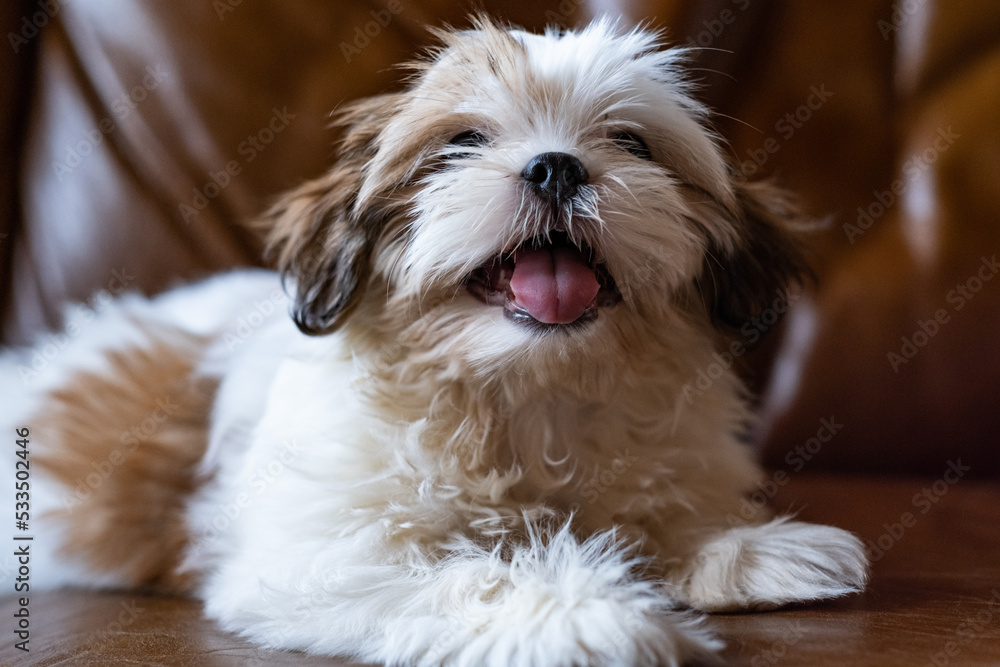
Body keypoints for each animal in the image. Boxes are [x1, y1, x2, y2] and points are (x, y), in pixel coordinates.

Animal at [1, 15, 868, 667]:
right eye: (462, 143)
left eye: (631, 142)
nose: (556, 166)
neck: (529, 391)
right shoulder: (325, 555)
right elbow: (468, 577)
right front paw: (593, 613)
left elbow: (657, 516)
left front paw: (756, 551)